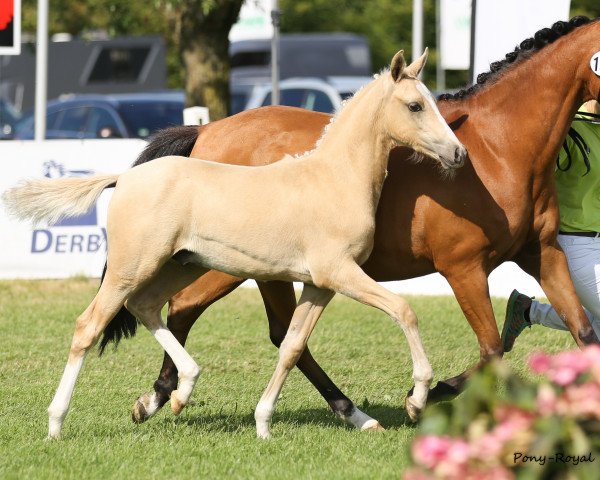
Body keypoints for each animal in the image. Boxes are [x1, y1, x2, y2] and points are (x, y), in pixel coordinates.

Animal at [2, 48, 466, 438]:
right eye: (415, 105)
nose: (459, 154)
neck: (334, 179)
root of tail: (125, 177)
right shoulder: (340, 273)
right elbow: (404, 310)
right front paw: (416, 400)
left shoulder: (319, 284)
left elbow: (292, 346)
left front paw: (263, 424)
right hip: (132, 267)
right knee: (89, 325)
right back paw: (56, 424)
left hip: (179, 266)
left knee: (148, 306)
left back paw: (182, 389)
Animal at [105, 15, 600, 428]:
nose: (456, 155)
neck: (498, 149)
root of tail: (207, 130)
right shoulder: (464, 269)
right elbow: (492, 348)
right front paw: (428, 394)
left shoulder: (544, 254)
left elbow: (582, 331)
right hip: (226, 266)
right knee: (188, 309)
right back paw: (163, 396)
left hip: (260, 272)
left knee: (278, 333)